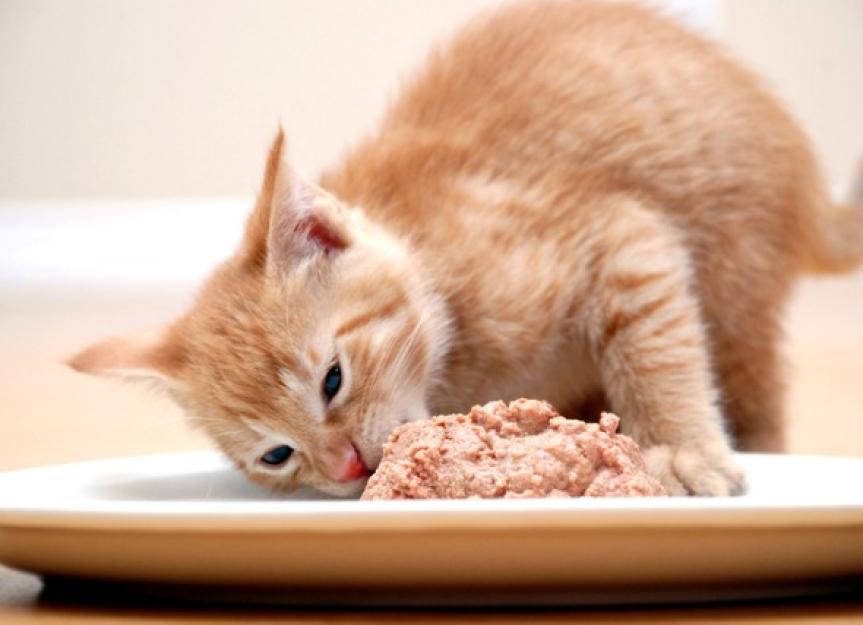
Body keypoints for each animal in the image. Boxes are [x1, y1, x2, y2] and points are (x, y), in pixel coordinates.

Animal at [69, 1, 863, 498]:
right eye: (276, 454)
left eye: (332, 380)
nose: (345, 465)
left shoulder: (621, 236)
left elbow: (656, 352)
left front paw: (678, 446)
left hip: (736, 278)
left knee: (752, 382)